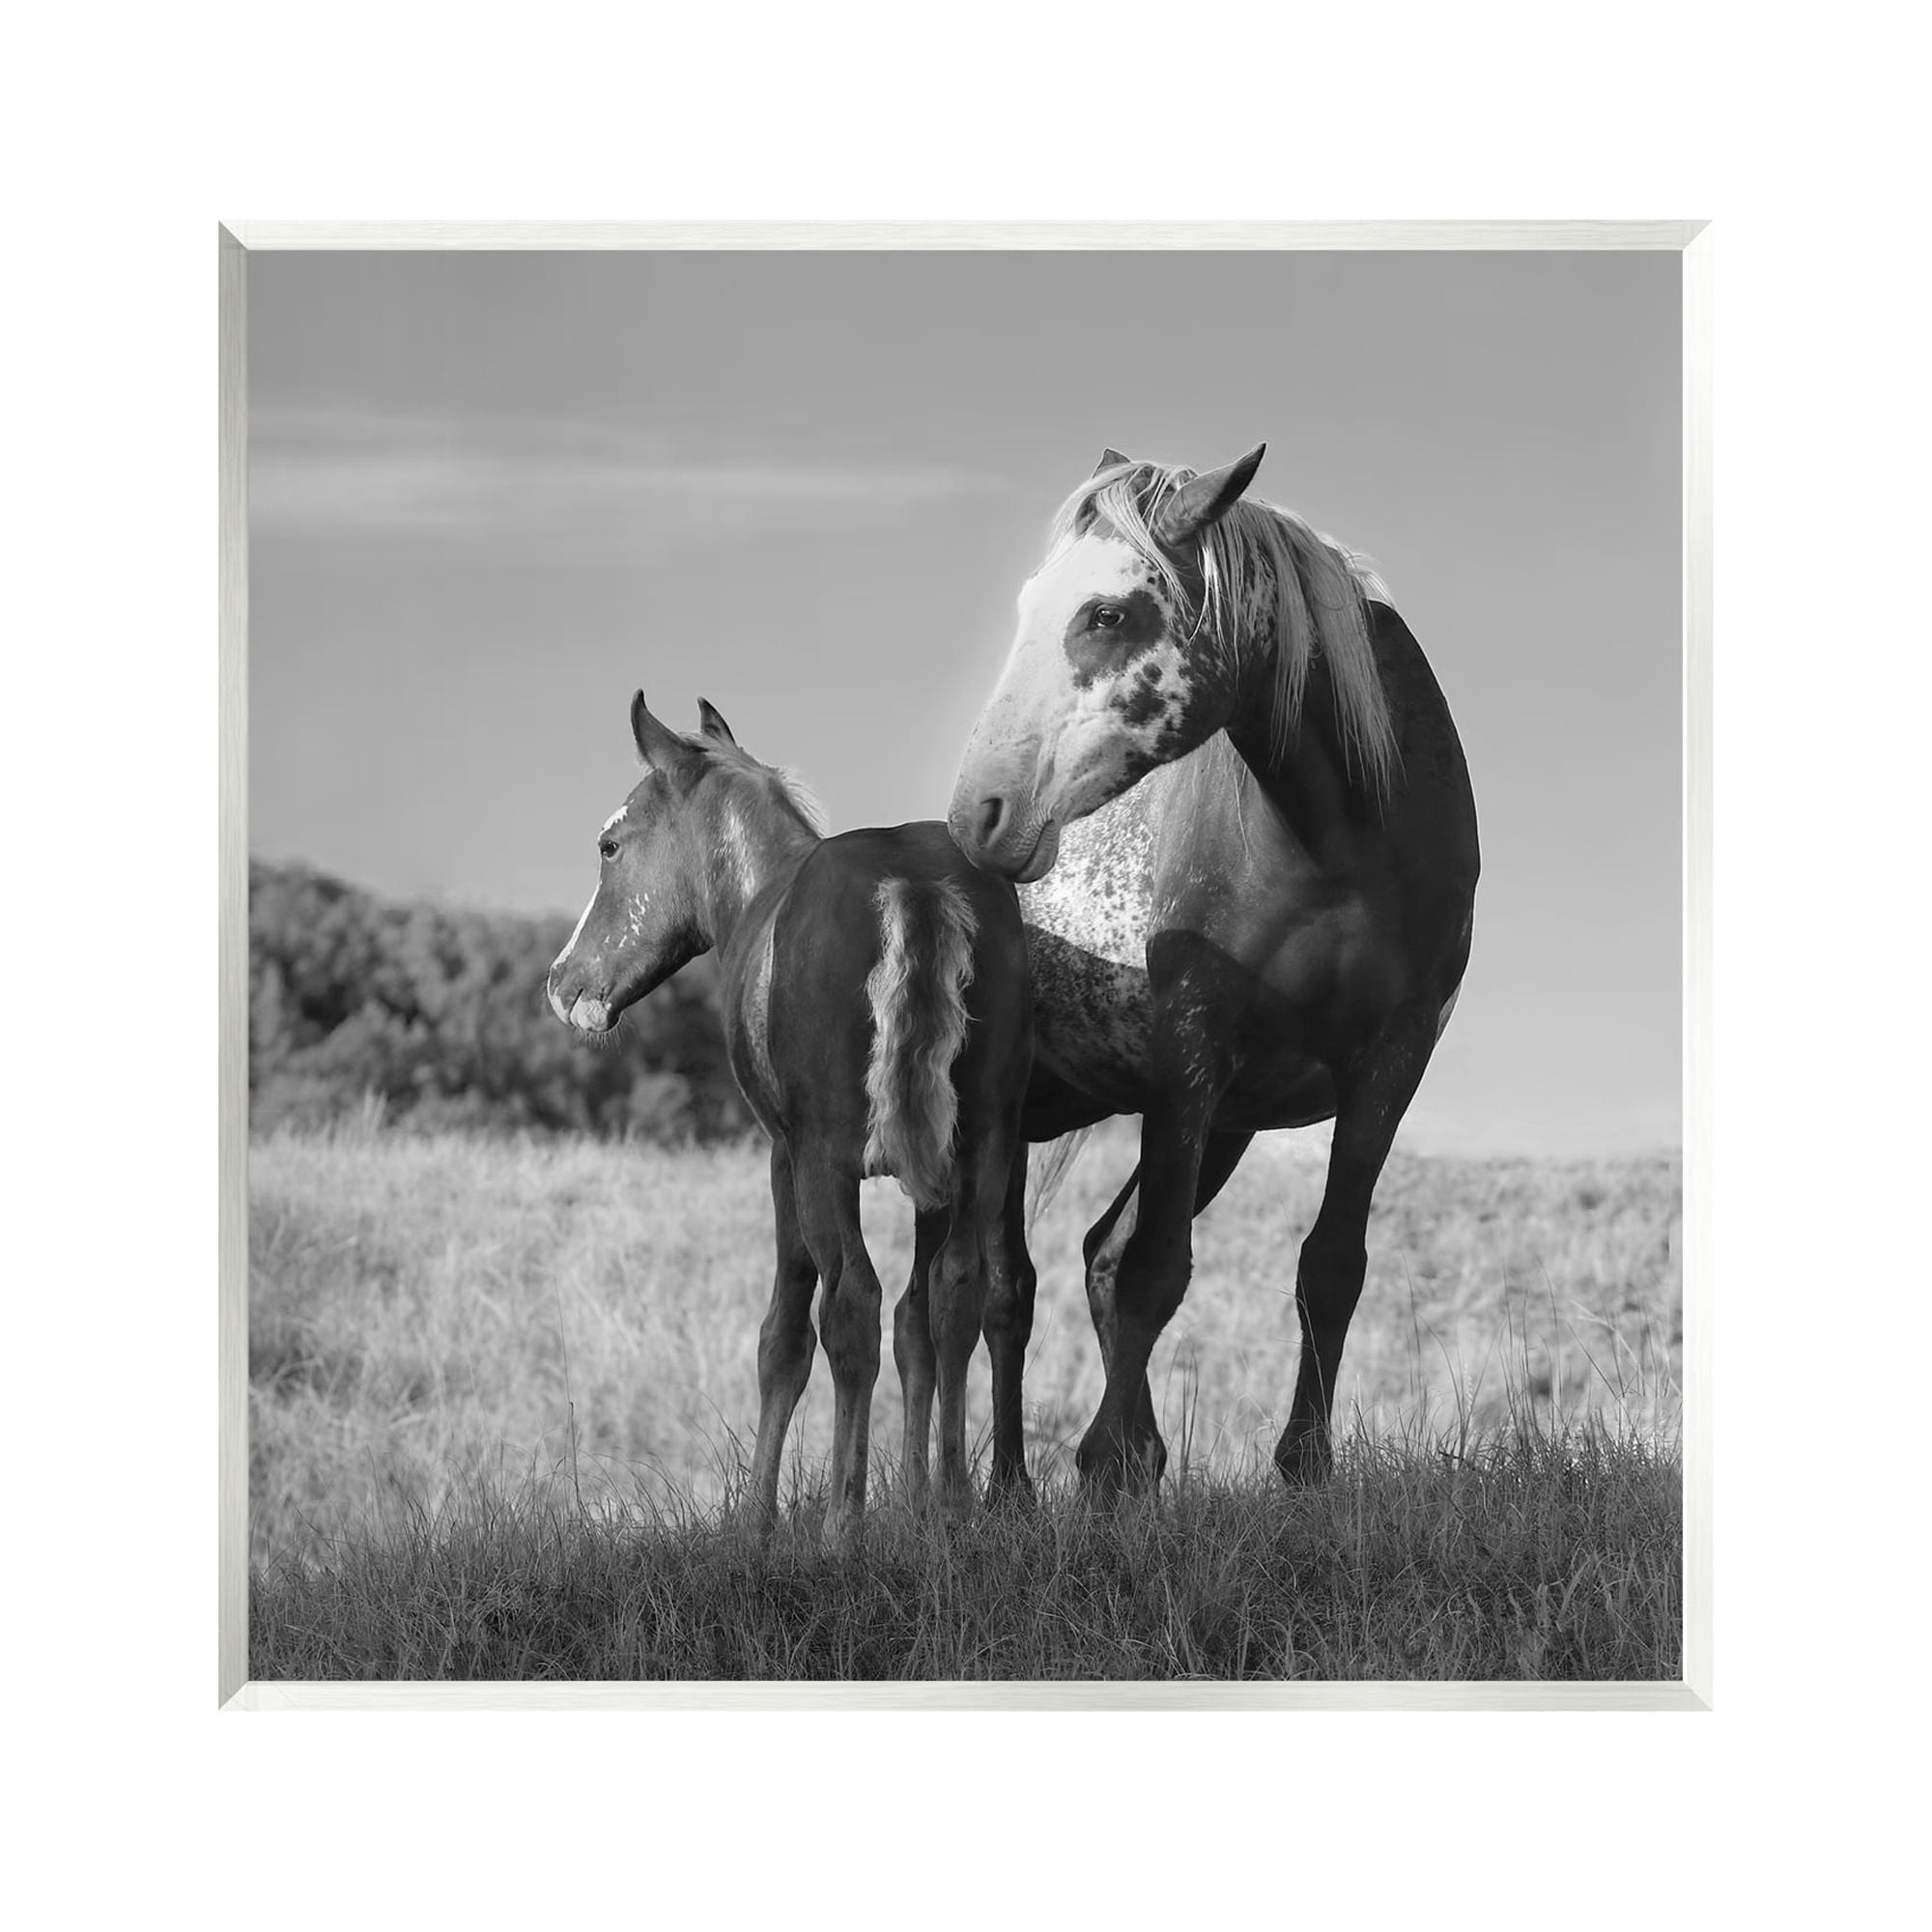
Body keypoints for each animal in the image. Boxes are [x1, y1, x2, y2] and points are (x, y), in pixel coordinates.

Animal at [548, 692, 1035, 1545]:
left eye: (610, 845)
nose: (562, 982)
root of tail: (914, 885)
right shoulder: (936, 1172)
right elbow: (920, 1322)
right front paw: (917, 1503)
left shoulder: (783, 1157)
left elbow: (785, 1333)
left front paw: (758, 1520)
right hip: (984, 1146)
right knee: (955, 1292)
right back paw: (951, 1503)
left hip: (825, 1162)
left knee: (851, 1305)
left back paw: (843, 1518)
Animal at [948, 445, 1479, 1499]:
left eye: (1106, 614)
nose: (979, 811)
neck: (1341, 846)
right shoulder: (1189, 1056)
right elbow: (1156, 1271)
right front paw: (1106, 1466)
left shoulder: (1386, 1067)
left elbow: (1329, 1266)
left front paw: (1301, 1466)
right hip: (1017, 1117)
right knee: (1001, 1293)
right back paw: (1007, 1491)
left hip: (1221, 1124)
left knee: (1089, 1259)